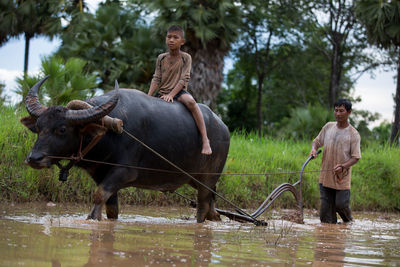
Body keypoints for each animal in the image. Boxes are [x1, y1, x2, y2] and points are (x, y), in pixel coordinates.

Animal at [20, 77, 230, 224]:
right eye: (38, 127)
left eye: (62, 129)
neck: (109, 133)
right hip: (197, 180)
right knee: (212, 205)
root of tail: (224, 128)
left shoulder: (124, 173)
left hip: (207, 179)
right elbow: (111, 207)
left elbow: (98, 196)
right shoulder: (101, 174)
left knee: (202, 206)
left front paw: (92, 219)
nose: (33, 158)